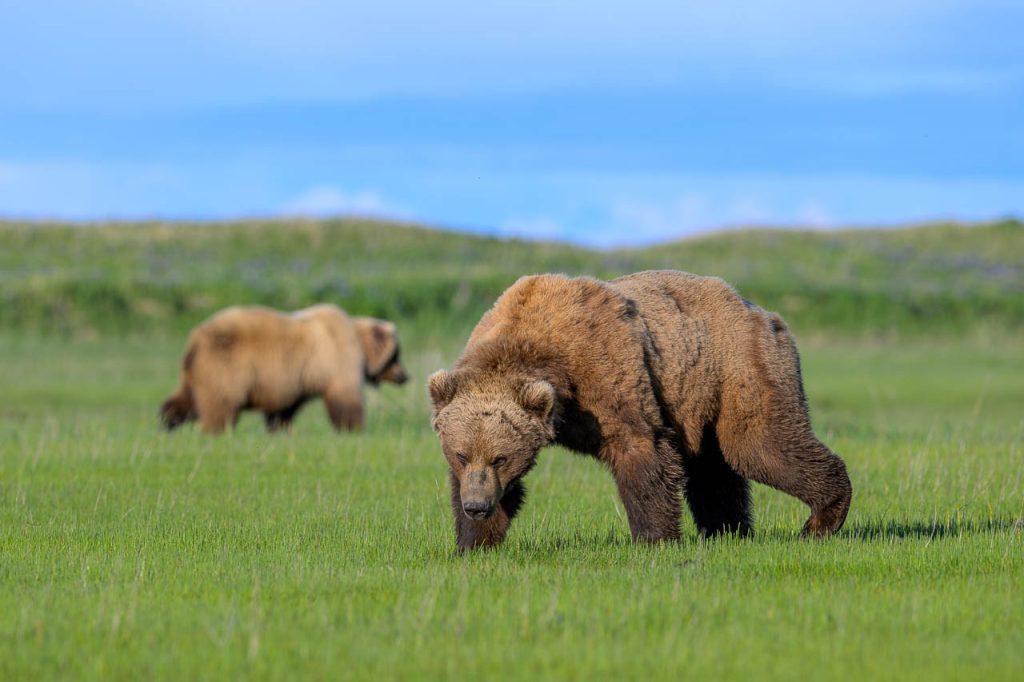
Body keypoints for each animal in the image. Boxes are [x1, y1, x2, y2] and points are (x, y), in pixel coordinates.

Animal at [160, 304, 408, 434]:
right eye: (396, 355)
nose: (406, 375)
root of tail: (195, 339)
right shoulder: (336, 362)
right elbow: (346, 399)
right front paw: (353, 428)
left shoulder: (292, 380)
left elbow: (283, 408)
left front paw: (280, 428)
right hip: (225, 364)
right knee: (220, 403)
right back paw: (216, 430)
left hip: (197, 371)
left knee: (187, 399)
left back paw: (166, 421)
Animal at [428, 270, 852, 552]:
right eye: (462, 455)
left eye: (500, 457)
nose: (476, 507)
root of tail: (764, 312)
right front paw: (474, 543)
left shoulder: (605, 372)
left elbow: (640, 450)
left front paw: (655, 539)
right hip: (698, 398)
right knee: (713, 469)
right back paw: (727, 530)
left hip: (739, 367)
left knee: (758, 445)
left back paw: (822, 518)